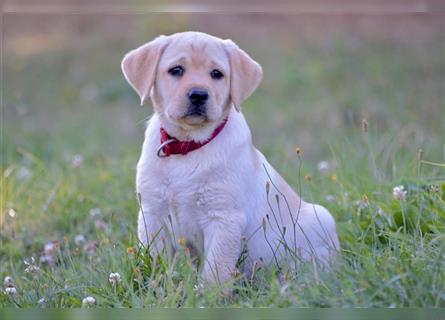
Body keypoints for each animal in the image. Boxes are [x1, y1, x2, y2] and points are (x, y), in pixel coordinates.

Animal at [119, 31, 338, 284]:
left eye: (217, 74)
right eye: (176, 70)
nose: (198, 95)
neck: (188, 145)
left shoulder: (224, 219)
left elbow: (215, 270)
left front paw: (206, 294)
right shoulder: (152, 214)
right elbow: (155, 260)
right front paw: (155, 285)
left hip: (321, 220)